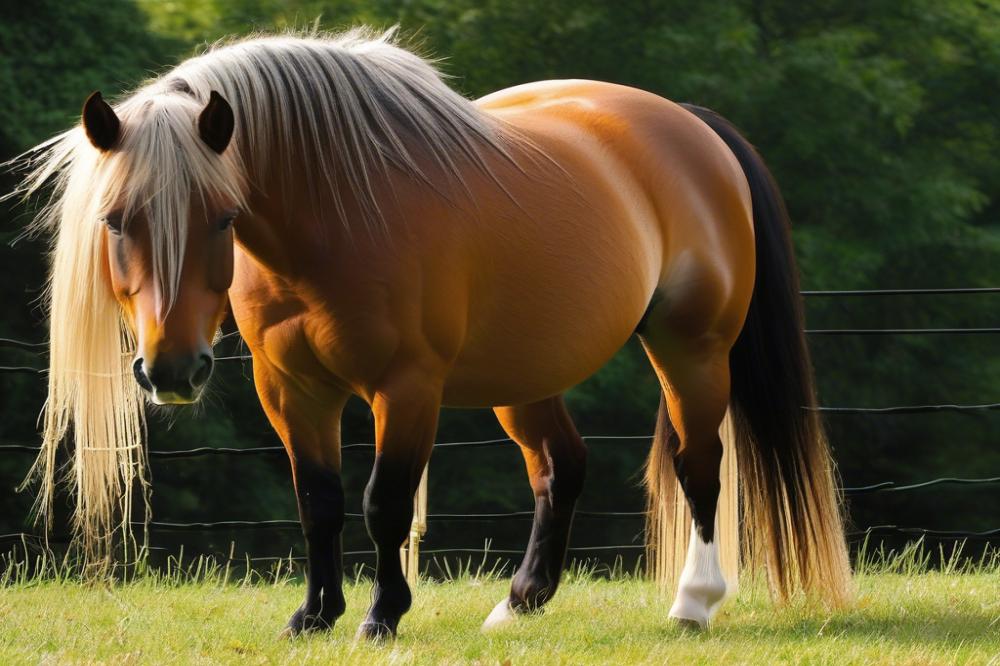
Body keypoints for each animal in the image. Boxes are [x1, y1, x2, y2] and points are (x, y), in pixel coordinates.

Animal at [11, 28, 848, 636]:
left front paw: (381, 616)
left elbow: (383, 500)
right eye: (115, 220)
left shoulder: (406, 389)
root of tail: (690, 126)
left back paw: (693, 603)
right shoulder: (292, 390)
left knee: (699, 464)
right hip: (524, 373)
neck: (333, 219)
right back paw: (518, 602)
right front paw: (315, 615)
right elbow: (318, 500)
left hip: (690, 348)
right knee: (560, 467)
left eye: (222, 217)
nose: (173, 371)